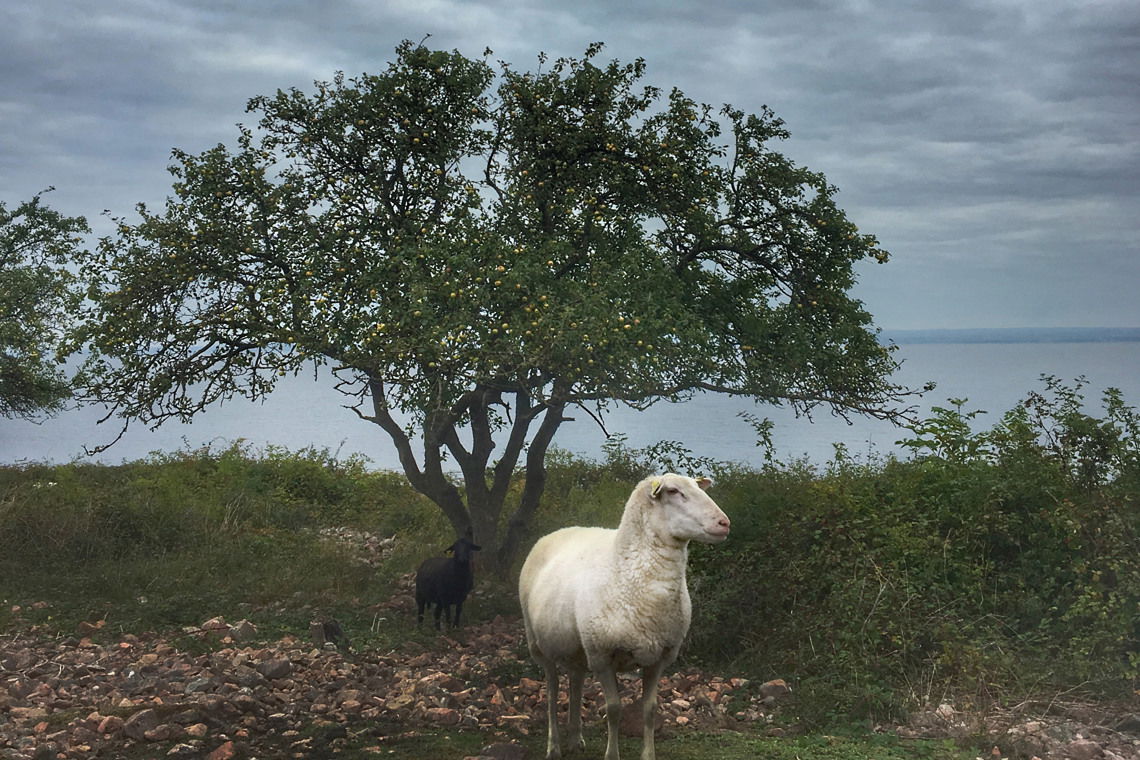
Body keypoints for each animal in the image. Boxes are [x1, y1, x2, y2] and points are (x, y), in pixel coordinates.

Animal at [517, 471, 729, 756]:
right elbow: (614, 710)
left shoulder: (658, 657)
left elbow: (649, 710)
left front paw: (648, 755)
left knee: (575, 680)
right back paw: (554, 746)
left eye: (699, 488)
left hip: (578, 647)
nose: (724, 523)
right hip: (540, 644)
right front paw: (612, 755)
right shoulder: (602, 656)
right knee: (552, 690)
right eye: (673, 491)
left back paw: (575, 738)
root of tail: (561, 530)